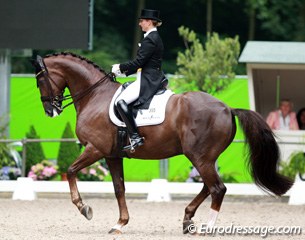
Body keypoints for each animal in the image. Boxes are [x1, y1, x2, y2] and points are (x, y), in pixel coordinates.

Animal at [30, 52, 292, 234]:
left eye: (40, 80)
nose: (50, 111)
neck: (95, 95)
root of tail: (228, 108)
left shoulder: (95, 149)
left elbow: (71, 170)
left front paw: (84, 208)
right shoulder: (113, 155)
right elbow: (119, 188)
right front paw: (120, 224)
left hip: (199, 157)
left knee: (218, 188)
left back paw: (207, 227)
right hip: (205, 158)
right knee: (209, 187)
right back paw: (187, 219)